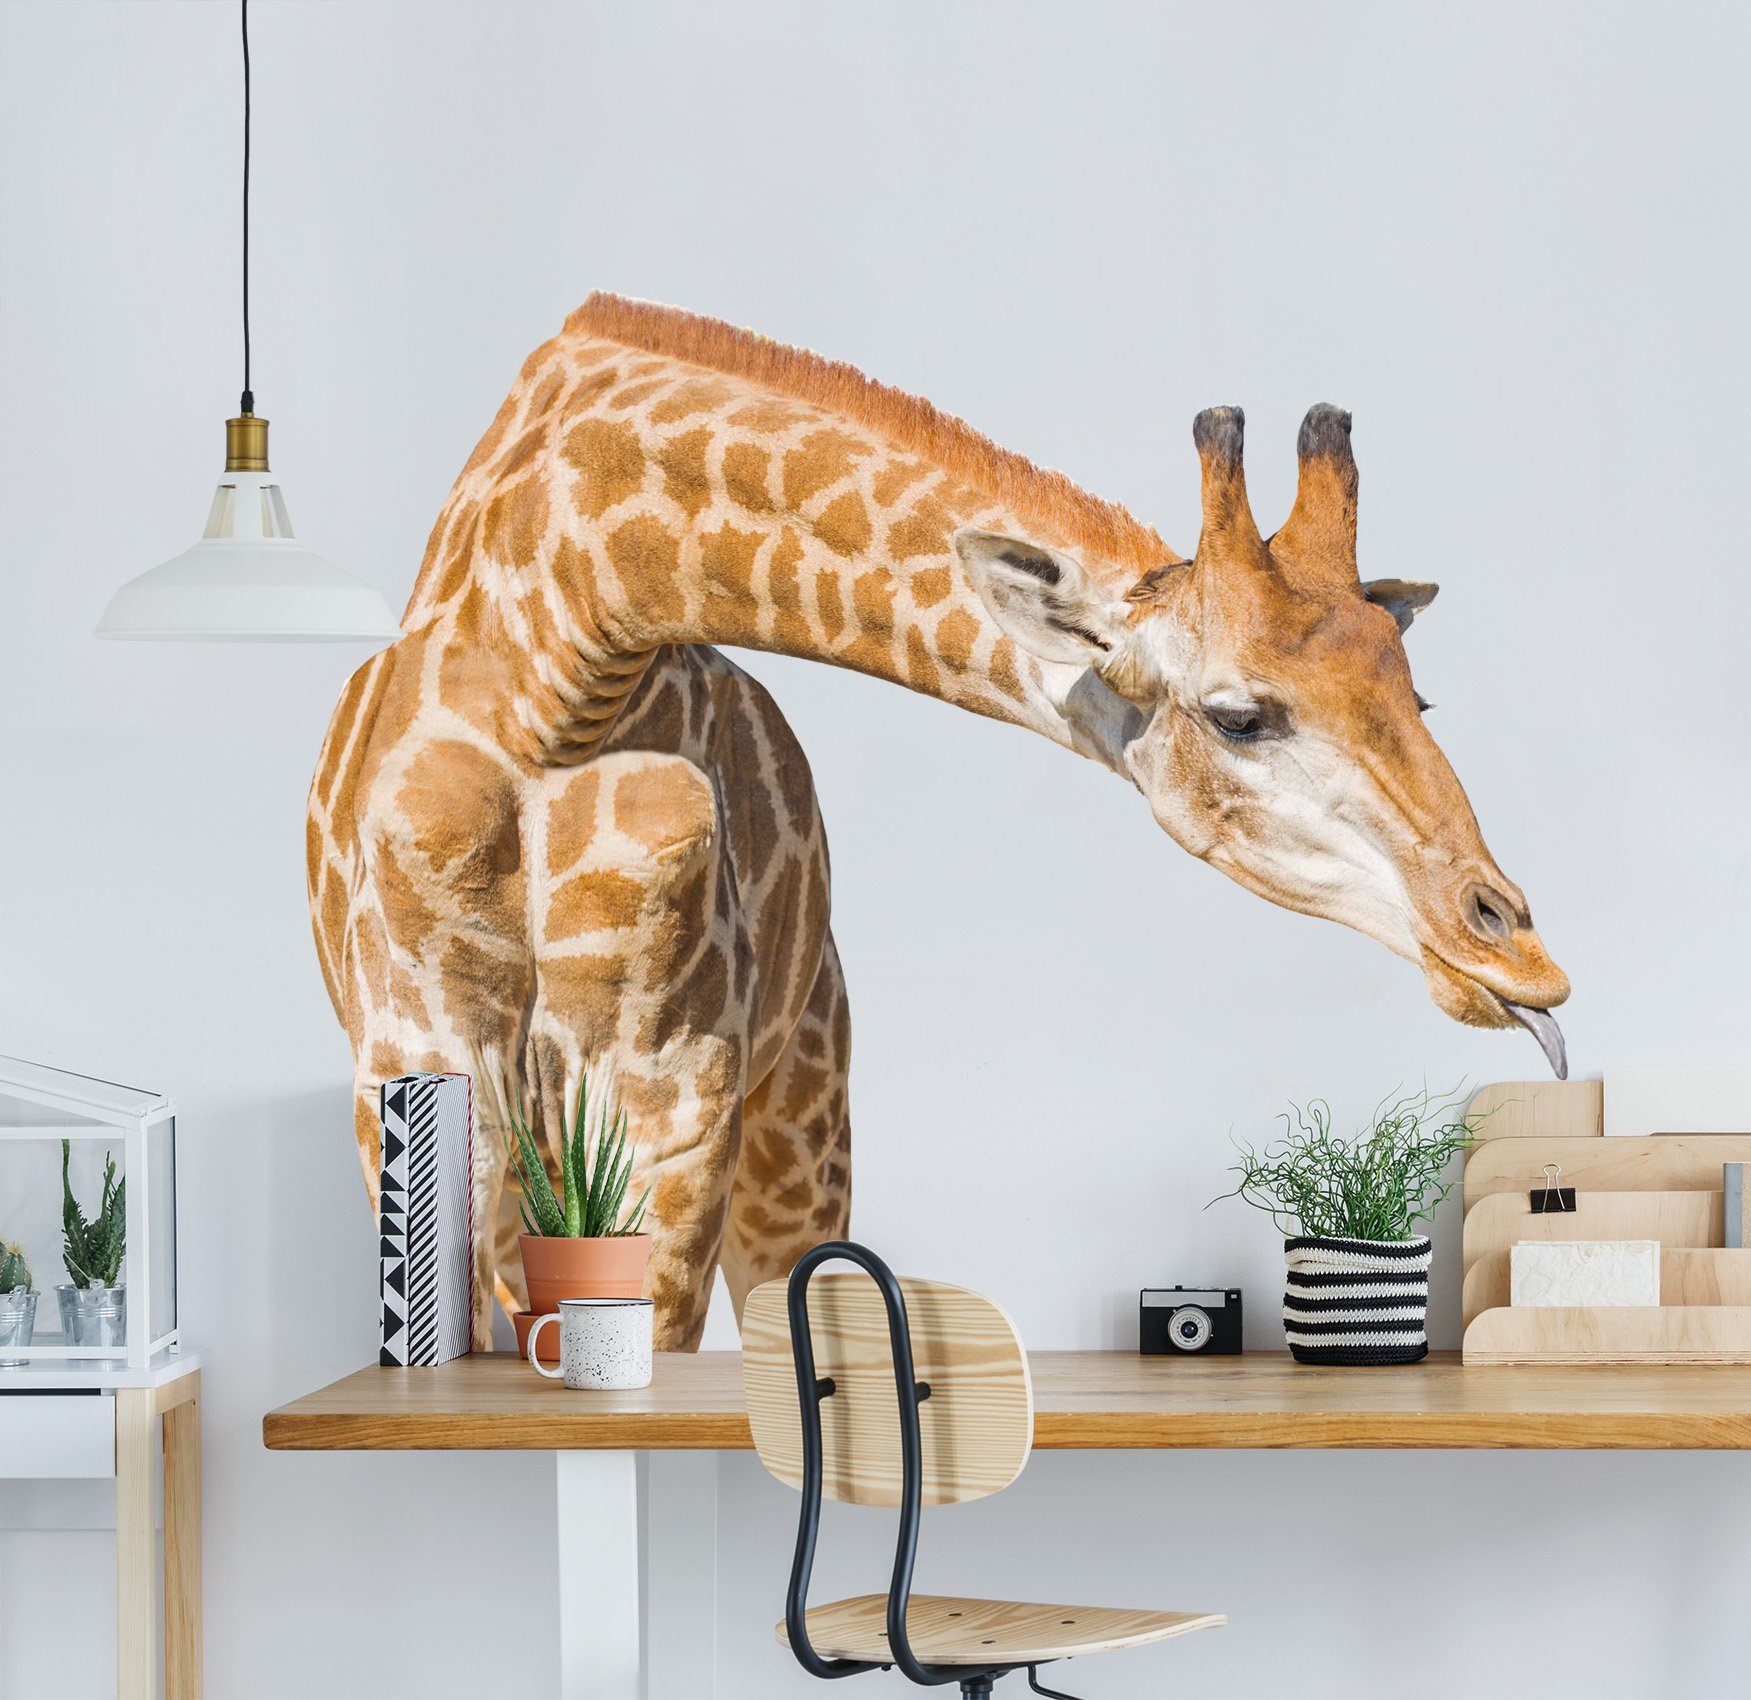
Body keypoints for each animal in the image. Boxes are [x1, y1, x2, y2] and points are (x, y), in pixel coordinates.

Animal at [307, 294, 1570, 1350]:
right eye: (1239, 714)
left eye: (1416, 698)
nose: (1520, 955)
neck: (554, 659)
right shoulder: (414, 1060)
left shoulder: (668, 1093)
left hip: (799, 1119)